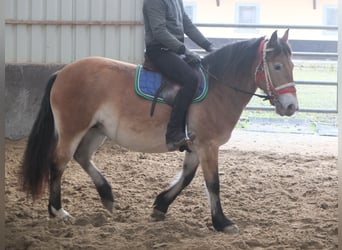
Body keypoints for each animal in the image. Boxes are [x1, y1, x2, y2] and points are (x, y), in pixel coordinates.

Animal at [20, 29, 296, 232]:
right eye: (277, 66)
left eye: (292, 65)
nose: (291, 106)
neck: (219, 89)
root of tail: (62, 72)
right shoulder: (208, 146)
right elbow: (213, 183)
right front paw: (222, 222)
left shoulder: (195, 146)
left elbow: (187, 177)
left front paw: (160, 206)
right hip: (73, 129)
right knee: (58, 162)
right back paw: (58, 211)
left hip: (96, 130)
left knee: (82, 157)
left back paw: (106, 196)